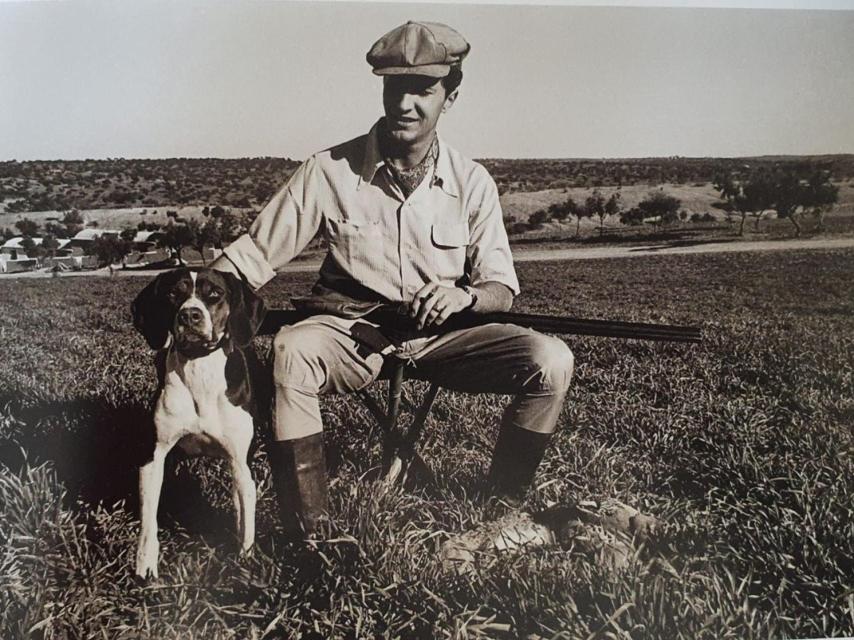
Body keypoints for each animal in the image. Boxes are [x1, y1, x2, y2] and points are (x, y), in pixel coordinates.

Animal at [130, 268, 264, 576]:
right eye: (172, 293)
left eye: (214, 293)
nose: (190, 315)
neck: (199, 368)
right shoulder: (153, 458)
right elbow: (148, 520)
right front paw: (145, 565)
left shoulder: (241, 461)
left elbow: (247, 520)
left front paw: (245, 561)